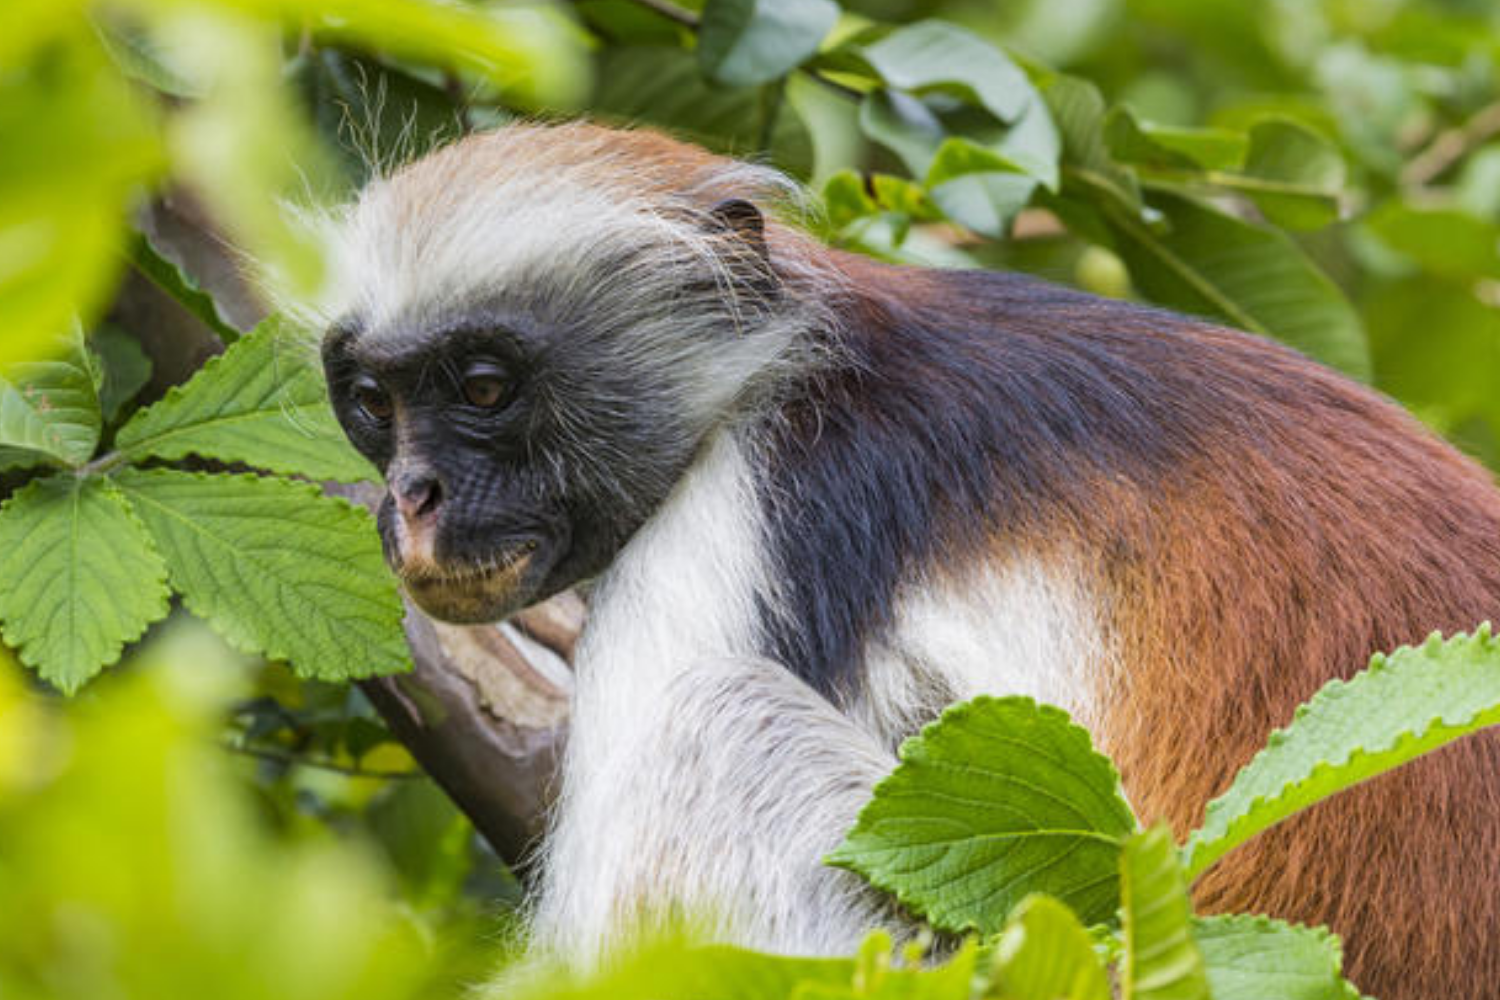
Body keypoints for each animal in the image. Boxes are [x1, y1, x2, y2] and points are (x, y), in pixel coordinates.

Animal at [317, 122, 1500, 1000]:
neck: (804, 369)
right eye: (375, 404)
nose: (412, 499)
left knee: (715, 718)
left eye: (483, 387)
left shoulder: (741, 515)